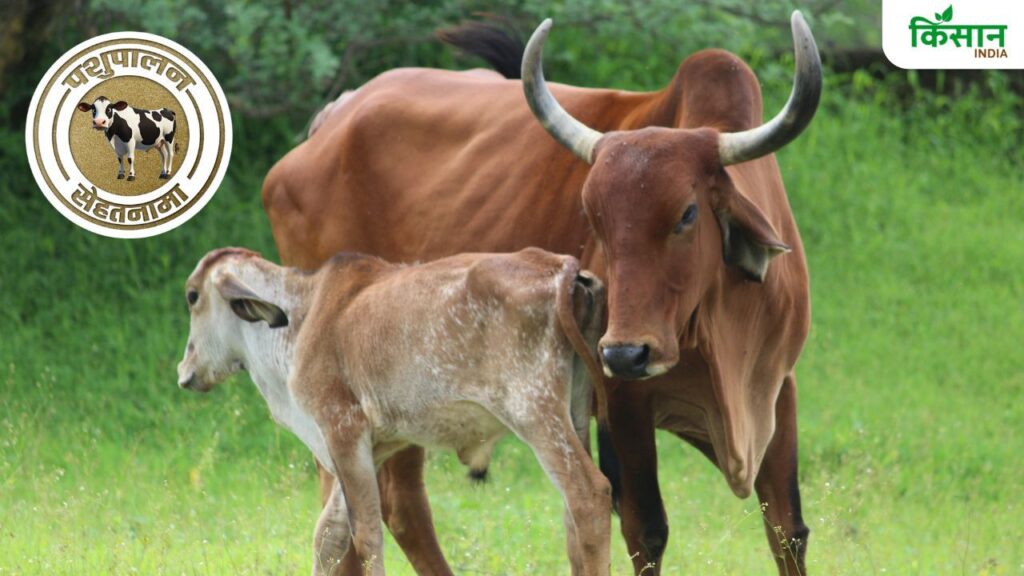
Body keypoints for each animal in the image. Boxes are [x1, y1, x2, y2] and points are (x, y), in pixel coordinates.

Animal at [176, 247, 610, 576]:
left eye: (192, 296)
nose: (184, 372)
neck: (300, 318)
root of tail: (560, 267)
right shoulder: (366, 448)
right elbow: (328, 536)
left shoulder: (341, 429)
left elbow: (365, 536)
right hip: (573, 413)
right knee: (572, 517)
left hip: (534, 412)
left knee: (589, 495)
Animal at [261, 12, 821, 575]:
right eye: (593, 216)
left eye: (686, 214)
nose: (626, 352)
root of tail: (333, 119)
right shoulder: (623, 404)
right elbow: (647, 531)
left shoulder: (780, 387)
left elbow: (787, 530)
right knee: (378, 507)